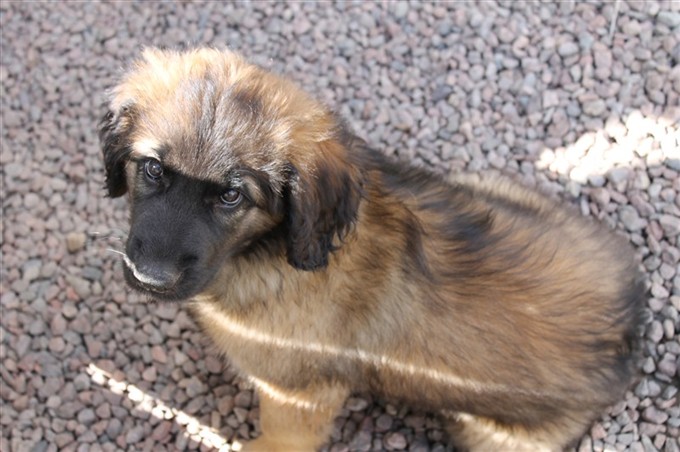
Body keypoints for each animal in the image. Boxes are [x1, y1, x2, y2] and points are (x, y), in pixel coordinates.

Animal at [99, 48, 644, 452]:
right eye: (153, 169)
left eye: (232, 196)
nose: (149, 277)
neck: (274, 249)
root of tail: (631, 332)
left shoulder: (298, 393)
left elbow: (281, 437)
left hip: (492, 433)